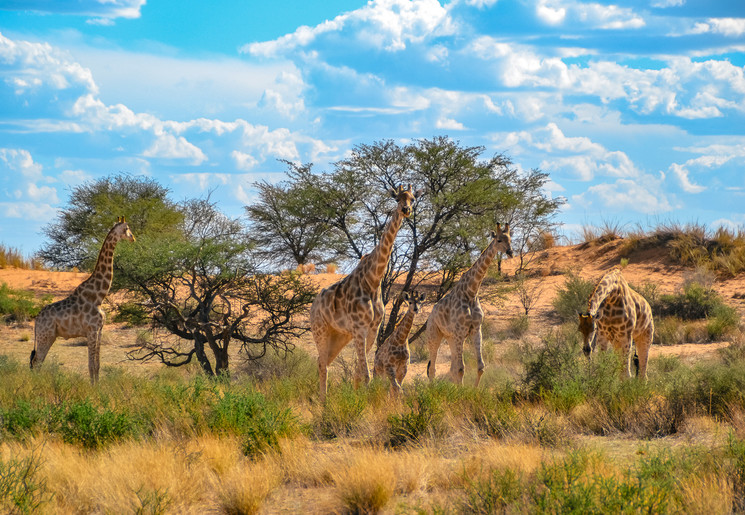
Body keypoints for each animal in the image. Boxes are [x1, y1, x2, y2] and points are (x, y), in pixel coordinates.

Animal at [29, 217, 136, 382]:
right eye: (127, 228)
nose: (133, 238)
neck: (99, 296)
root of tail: (36, 319)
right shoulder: (91, 330)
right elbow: (91, 365)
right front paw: (93, 387)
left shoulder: (99, 330)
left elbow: (97, 365)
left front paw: (97, 386)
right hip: (45, 335)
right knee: (36, 361)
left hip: (49, 336)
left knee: (37, 362)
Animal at [310, 184, 422, 404]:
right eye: (397, 199)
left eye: (412, 199)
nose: (406, 210)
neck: (374, 279)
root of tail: (313, 305)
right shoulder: (360, 328)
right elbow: (367, 373)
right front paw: (367, 402)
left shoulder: (372, 329)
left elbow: (359, 371)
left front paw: (358, 399)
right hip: (320, 331)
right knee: (321, 363)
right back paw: (323, 402)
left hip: (340, 336)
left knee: (323, 361)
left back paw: (323, 400)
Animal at [424, 222, 512, 388]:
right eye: (498, 240)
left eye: (510, 239)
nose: (510, 252)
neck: (471, 292)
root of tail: (431, 314)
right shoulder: (460, 331)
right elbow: (461, 369)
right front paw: (461, 392)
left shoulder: (476, 329)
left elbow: (480, 367)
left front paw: (473, 391)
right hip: (434, 336)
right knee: (432, 369)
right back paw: (431, 389)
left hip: (451, 338)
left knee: (450, 368)